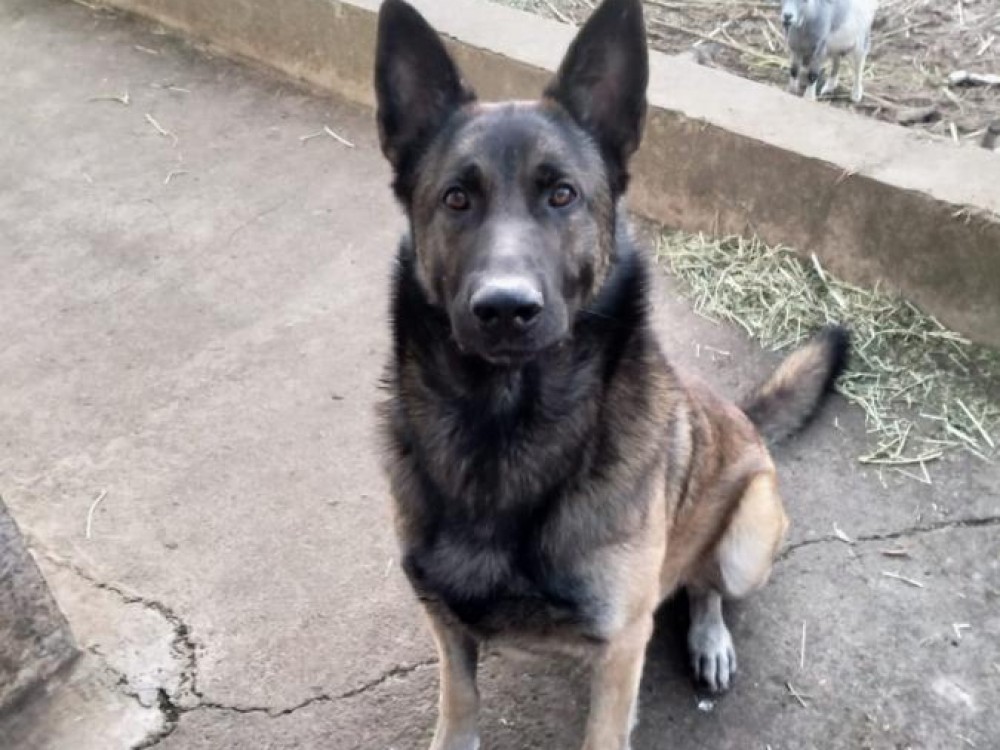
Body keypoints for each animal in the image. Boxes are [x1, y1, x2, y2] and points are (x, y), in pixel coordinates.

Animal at [374, 1, 849, 747]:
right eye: (455, 199)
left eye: (562, 195)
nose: (505, 309)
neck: (503, 431)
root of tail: (745, 419)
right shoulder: (446, 626)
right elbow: (458, 710)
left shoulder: (622, 645)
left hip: (746, 542)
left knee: (706, 583)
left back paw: (709, 638)